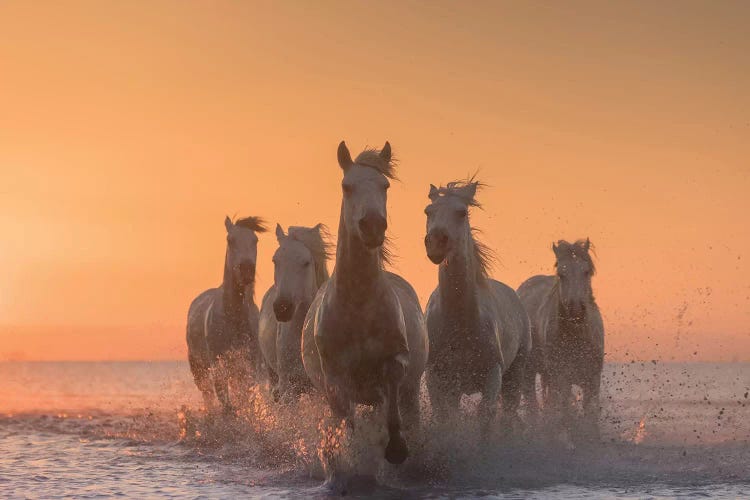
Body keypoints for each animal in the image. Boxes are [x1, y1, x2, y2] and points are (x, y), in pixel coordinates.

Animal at [185, 215, 268, 414]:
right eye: (230, 240)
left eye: (255, 240)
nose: (246, 270)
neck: (234, 316)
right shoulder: (217, 362)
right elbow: (225, 400)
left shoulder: (250, 363)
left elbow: (245, 398)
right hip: (198, 367)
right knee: (207, 394)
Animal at [300, 140, 428, 464]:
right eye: (347, 186)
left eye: (385, 185)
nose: (372, 226)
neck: (358, 304)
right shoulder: (335, 378)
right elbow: (347, 422)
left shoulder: (396, 359)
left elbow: (391, 389)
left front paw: (396, 448)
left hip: (411, 392)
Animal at [424, 181, 536, 434]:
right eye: (428, 211)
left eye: (462, 212)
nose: (436, 242)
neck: (460, 322)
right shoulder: (437, 377)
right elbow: (444, 417)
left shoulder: (493, 373)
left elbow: (485, 414)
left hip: (516, 373)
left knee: (509, 411)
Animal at [520, 238, 608, 438]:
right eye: (561, 274)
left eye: (586, 271)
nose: (576, 311)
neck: (576, 337)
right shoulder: (562, 378)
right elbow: (565, 412)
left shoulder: (593, 379)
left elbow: (590, 414)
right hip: (530, 372)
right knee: (533, 406)